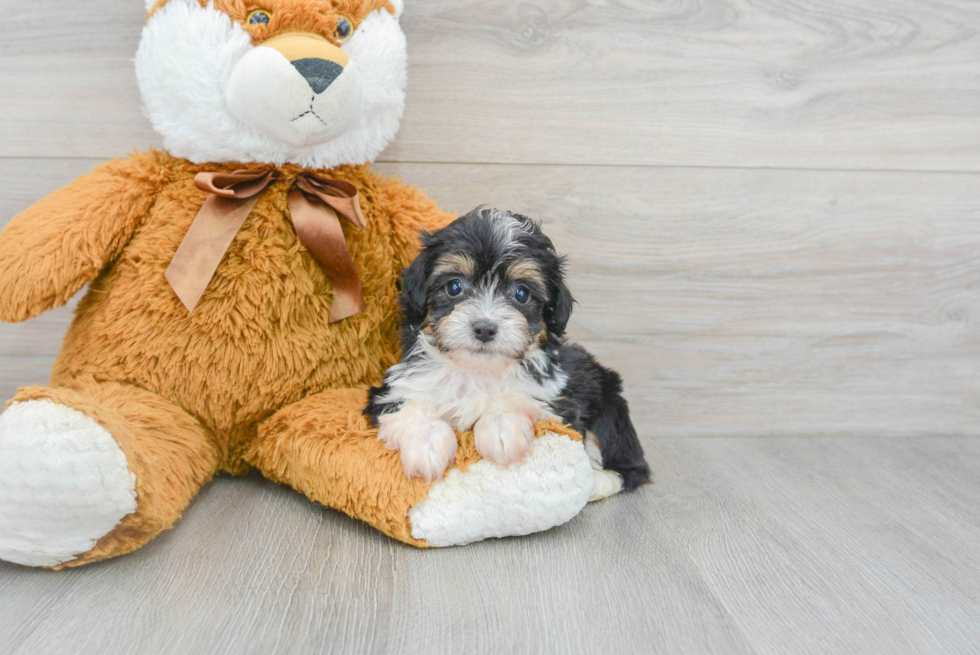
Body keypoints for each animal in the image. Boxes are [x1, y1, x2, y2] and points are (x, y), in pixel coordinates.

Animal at [362, 208, 652, 500]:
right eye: (454, 286)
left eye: (521, 293)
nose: (485, 328)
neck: (476, 369)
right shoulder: (393, 388)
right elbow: (411, 406)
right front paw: (427, 447)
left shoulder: (557, 399)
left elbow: (516, 397)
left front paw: (501, 431)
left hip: (609, 406)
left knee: (628, 466)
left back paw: (596, 483)